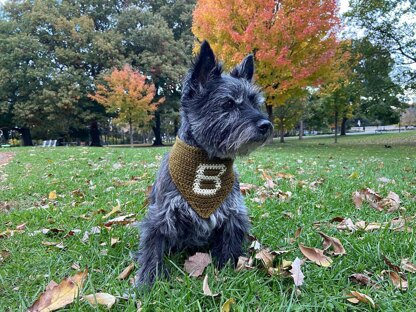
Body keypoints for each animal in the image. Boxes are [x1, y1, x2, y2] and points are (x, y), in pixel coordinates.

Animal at [135, 41, 274, 288]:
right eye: (228, 103)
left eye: (254, 102)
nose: (266, 125)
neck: (207, 163)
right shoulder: (160, 216)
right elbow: (152, 247)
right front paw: (148, 280)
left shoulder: (233, 215)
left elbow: (229, 245)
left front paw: (228, 269)